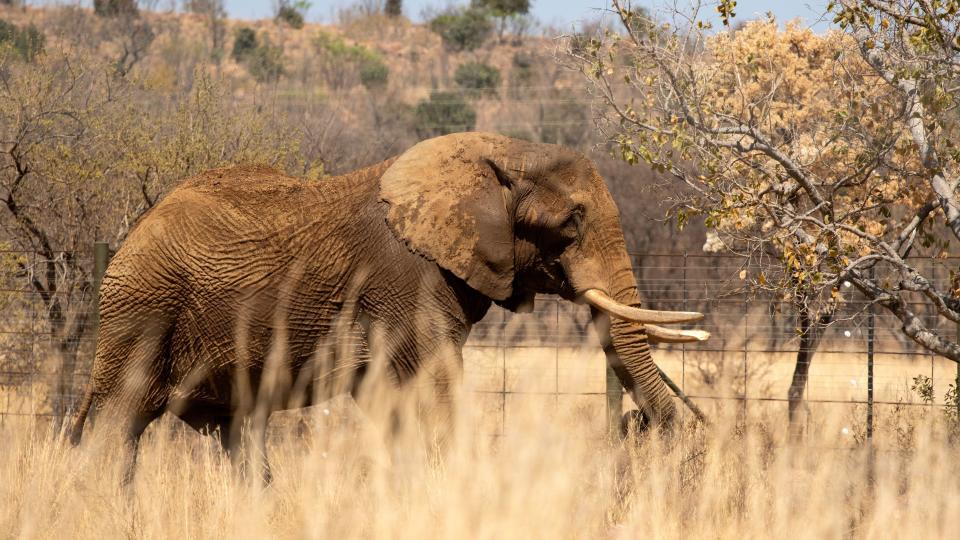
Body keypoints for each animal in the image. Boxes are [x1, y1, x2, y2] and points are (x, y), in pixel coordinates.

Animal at [67, 132, 708, 480]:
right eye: (572, 221)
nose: (638, 427)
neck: (501, 151)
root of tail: (128, 239)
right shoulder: (406, 278)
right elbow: (436, 389)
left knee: (240, 434)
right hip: (142, 309)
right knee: (118, 424)